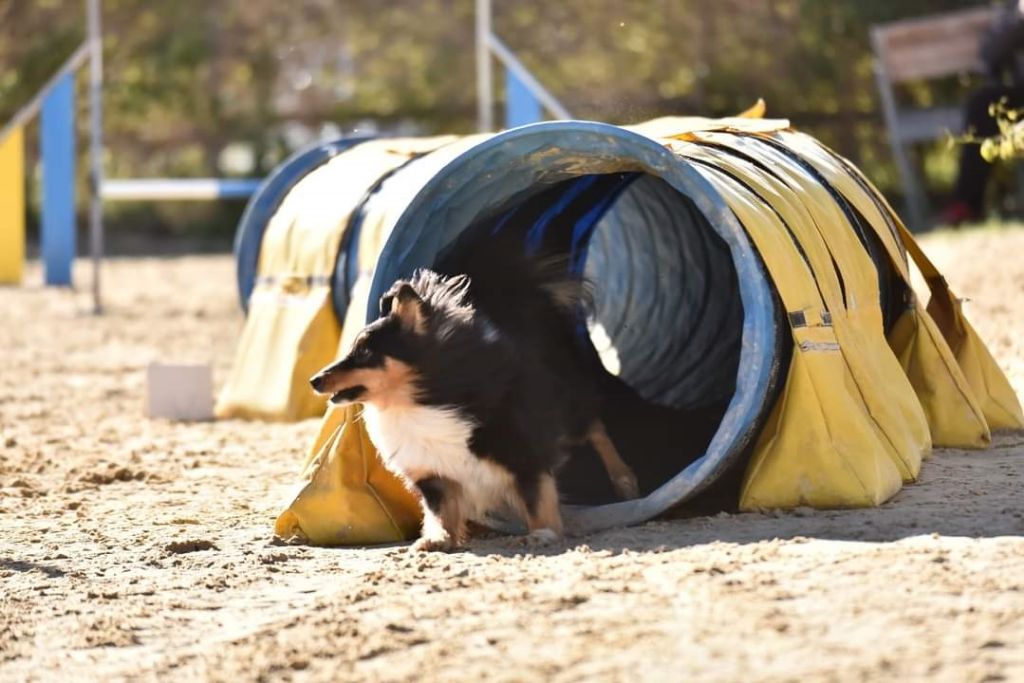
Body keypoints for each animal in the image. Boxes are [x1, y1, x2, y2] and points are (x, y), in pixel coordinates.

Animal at [307, 248, 634, 552]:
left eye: (363, 352)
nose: (314, 380)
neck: (415, 402)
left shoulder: (523, 454)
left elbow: (537, 501)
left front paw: (543, 534)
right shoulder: (433, 475)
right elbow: (439, 513)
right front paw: (436, 540)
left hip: (568, 405)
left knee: (595, 426)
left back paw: (625, 480)